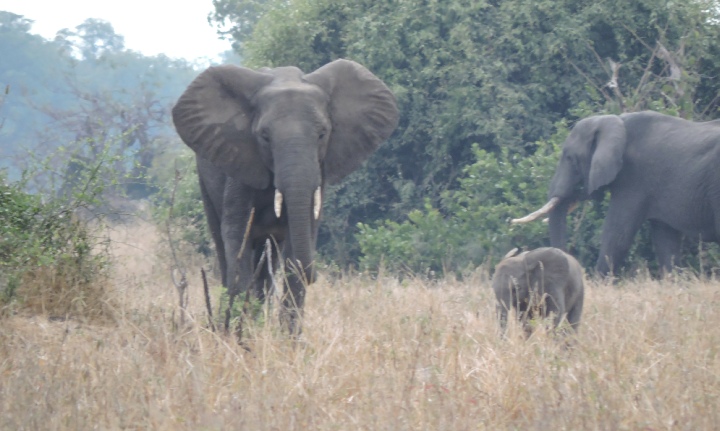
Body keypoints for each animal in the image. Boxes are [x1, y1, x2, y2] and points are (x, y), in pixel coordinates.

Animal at [172, 58, 402, 334]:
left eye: (322, 134)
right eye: (264, 136)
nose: (316, 274)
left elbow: (297, 246)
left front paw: (287, 340)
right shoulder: (238, 163)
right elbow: (237, 238)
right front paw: (240, 336)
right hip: (205, 180)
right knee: (224, 248)